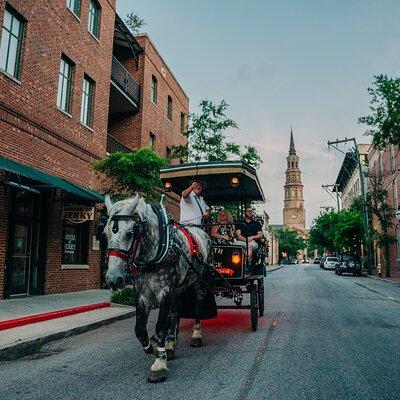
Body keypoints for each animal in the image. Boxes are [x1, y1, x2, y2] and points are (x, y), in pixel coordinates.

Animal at [103, 195, 211, 382]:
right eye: (105, 233)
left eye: (130, 233)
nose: (112, 279)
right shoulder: (142, 294)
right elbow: (139, 329)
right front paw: (153, 347)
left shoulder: (165, 291)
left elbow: (160, 326)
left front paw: (159, 363)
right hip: (178, 286)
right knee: (175, 311)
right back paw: (170, 343)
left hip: (198, 279)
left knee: (198, 305)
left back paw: (196, 335)